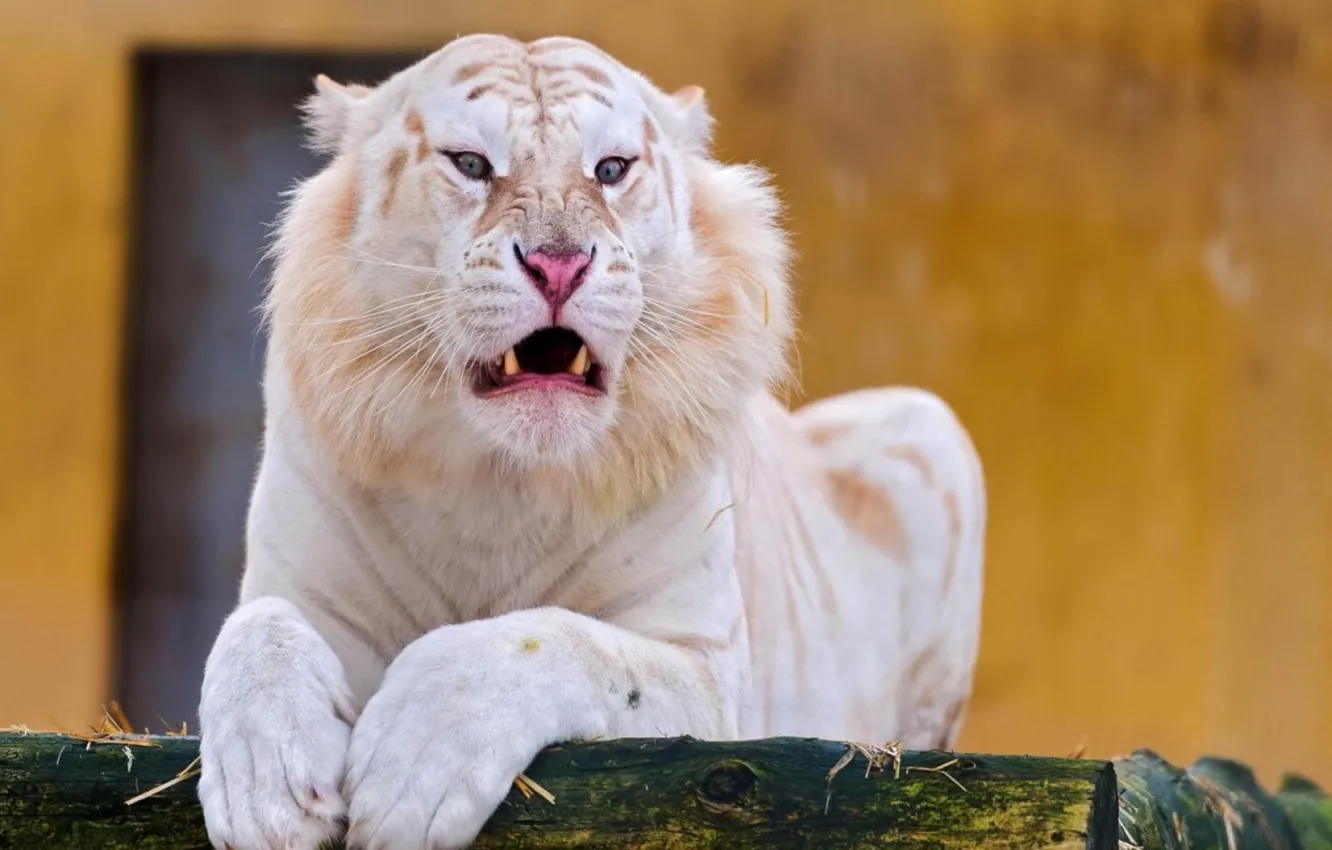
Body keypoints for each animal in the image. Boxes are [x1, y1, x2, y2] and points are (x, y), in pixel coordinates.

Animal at [196, 32, 986, 850]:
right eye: (470, 162)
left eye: (610, 169)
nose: (559, 265)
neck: (498, 481)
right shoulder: (303, 589)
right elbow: (256, 630)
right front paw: (267, 796)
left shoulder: (710, 675)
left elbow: (561, 642)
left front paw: (410, 768)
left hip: (927, 425)